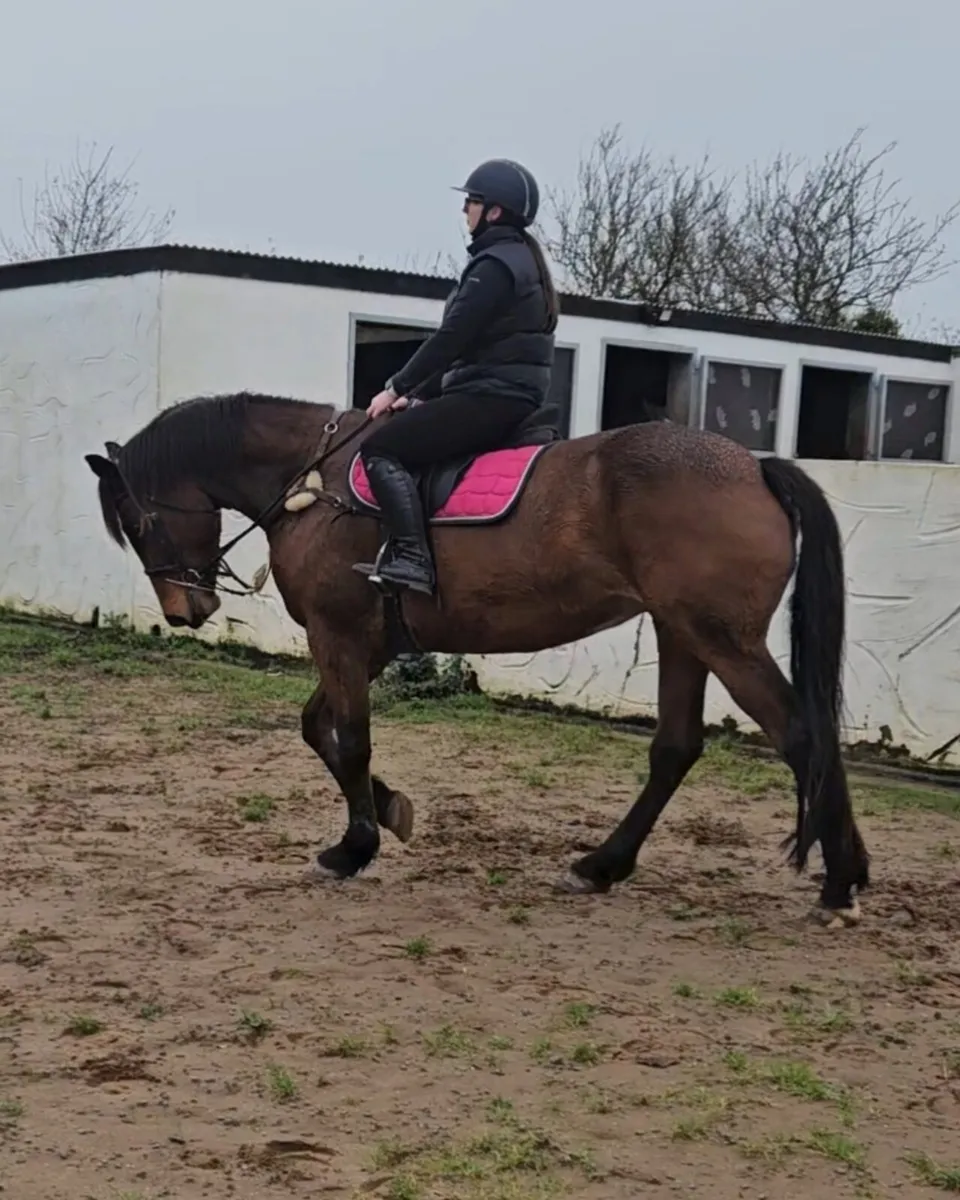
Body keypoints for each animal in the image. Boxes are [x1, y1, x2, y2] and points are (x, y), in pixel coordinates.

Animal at [84, 390, 869, 928]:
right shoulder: (365, 645)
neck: (313, 484)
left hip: (721, 639)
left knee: (803, 737)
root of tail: (755, 469)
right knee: (678, 748)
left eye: (137, 522)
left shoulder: (339, 638)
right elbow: (319, 730)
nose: (184, 611)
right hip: (682, 634)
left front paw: (354, 846)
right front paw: (390, 811)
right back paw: (604, 866)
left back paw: (838, 887)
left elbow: (353, 738)